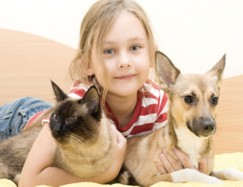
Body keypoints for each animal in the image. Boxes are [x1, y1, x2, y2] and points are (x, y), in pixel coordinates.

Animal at [116, 50, 243, 186]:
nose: (209, 126)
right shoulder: (148, 178)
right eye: (188, 98)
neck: (192, 141)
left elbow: (227, 170)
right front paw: (213, 181)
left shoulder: (209, 170)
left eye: (215, 100)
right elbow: (189, 172)